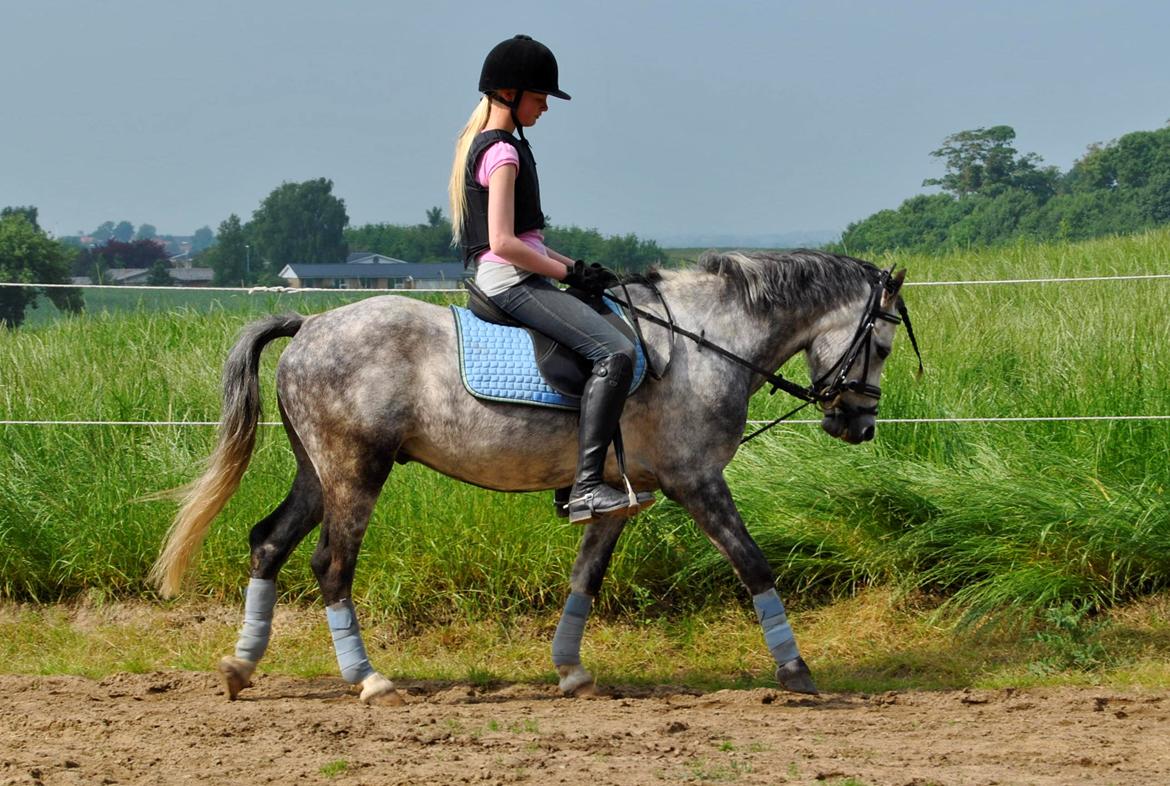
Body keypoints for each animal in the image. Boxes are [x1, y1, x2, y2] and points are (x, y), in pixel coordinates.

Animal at [150, 249, 912, 705]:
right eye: (879, 343)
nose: (856, 425)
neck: (706, 343)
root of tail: (309, 323)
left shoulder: (621, 499)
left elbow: (586, 578)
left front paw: (572, 671)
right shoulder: (697, 481)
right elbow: (753, 563)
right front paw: (796, 671)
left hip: (320, 473)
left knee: (268, 543)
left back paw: (240, 667)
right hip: (355, 472)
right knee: (330, 565)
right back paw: (367, 679)